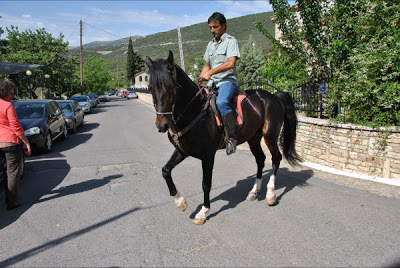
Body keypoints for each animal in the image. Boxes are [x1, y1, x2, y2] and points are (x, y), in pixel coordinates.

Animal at [144, 51, 300, 225]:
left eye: (170, 87)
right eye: (150, 87)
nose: (161, 125)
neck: (195, 110)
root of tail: (274, 96)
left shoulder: (207, 155)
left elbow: (206, 183)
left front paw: (203, 212)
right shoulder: (182, 151)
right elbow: (165, 171)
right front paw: (180, 201)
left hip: (270, 136)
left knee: (276, 158)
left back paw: (270, 194)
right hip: (253, 138)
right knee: (260, 159)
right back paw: (254, 192)